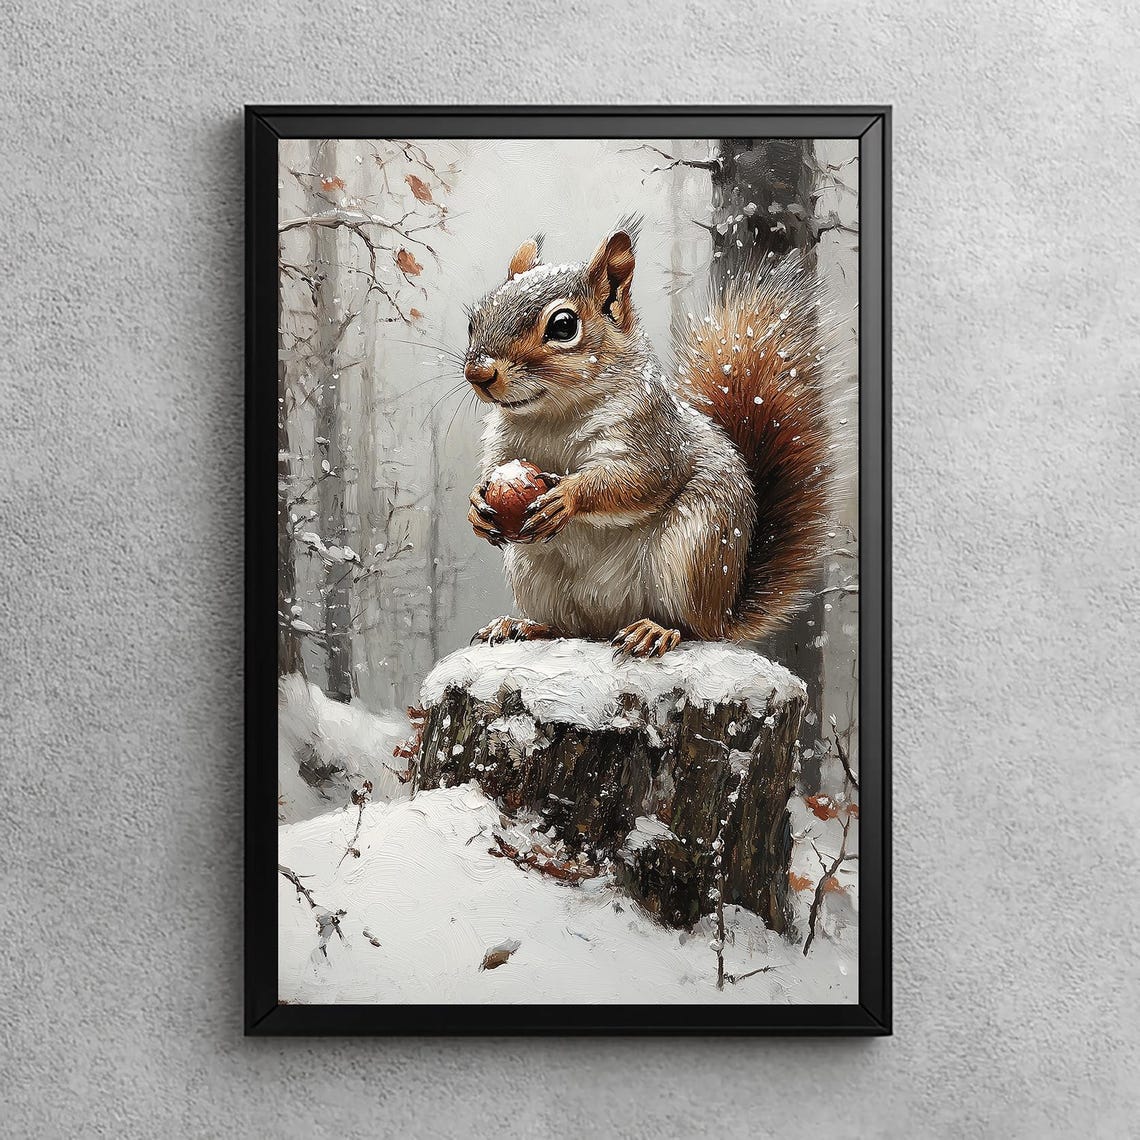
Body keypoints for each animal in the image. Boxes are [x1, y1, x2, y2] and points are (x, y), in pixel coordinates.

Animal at [464, 223, 832, 659]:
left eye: (563, 326)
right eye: (474, 321)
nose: (478, 373)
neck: (553, 414)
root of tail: (724, 611)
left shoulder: (653, 435)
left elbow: (641, 478)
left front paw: (567, 496)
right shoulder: (504, 445)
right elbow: (492, 470)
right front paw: (476, 504)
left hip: (690, 551)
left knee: (693, 629)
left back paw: (655, 631)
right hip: (533, 572)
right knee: (567, 626)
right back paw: (523, 625)